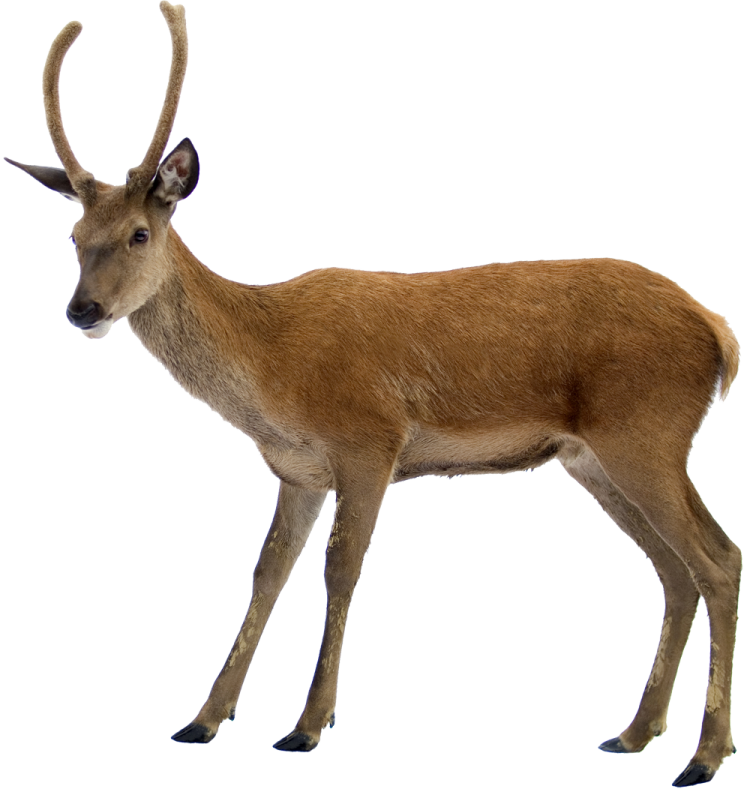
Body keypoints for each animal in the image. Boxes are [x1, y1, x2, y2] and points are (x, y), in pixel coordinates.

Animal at [4, 1, 741, 786]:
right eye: (74, 235)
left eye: (140, 233)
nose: (82, 310)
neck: (271, 367)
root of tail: (718, 334)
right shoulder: (296, 469)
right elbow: (266, 572)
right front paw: (202, 719)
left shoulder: (368, 442)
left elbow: (340, 569)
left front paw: (305, 727)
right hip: (591, 458)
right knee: (674, 568)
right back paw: (633, 734)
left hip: (647, 433)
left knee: (717, 558)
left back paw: (704, 755)